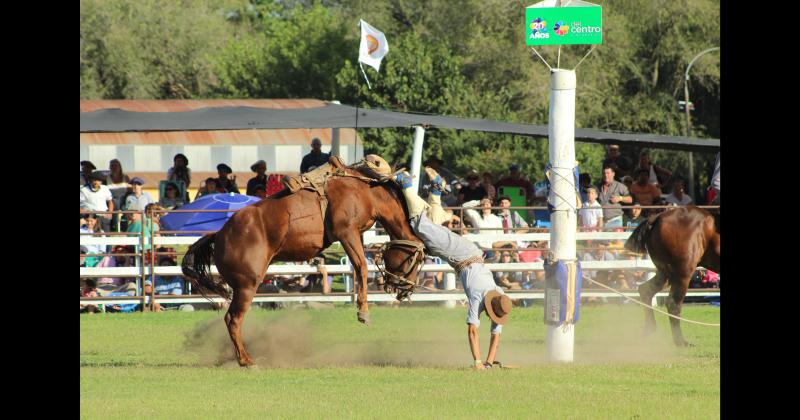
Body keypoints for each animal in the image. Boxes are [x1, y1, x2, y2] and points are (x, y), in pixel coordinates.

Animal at [180, 159, 424, 366]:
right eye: (416, 259)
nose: (406, 290)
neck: (365, 191)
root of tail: (219, 234)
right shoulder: (347, 232)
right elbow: (361, 266)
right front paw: (363, 312)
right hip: (246, 285)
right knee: (233, 319)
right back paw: (246, 361)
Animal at [624, 205, 720, 346]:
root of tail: (657, 217)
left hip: (665, 273)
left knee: (646, 290)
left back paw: (649, 329)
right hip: (682, 274)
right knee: (673, 304)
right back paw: (681, 341)